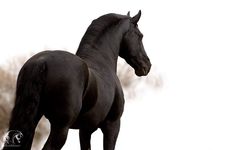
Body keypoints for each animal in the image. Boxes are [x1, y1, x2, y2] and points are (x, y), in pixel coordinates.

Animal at [3, 9, 151, 149]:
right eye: (140, 36)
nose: (147, 65)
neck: (102, 64)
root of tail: (41, 62)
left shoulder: (85, 130)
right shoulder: (112, 125)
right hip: (61, 127)